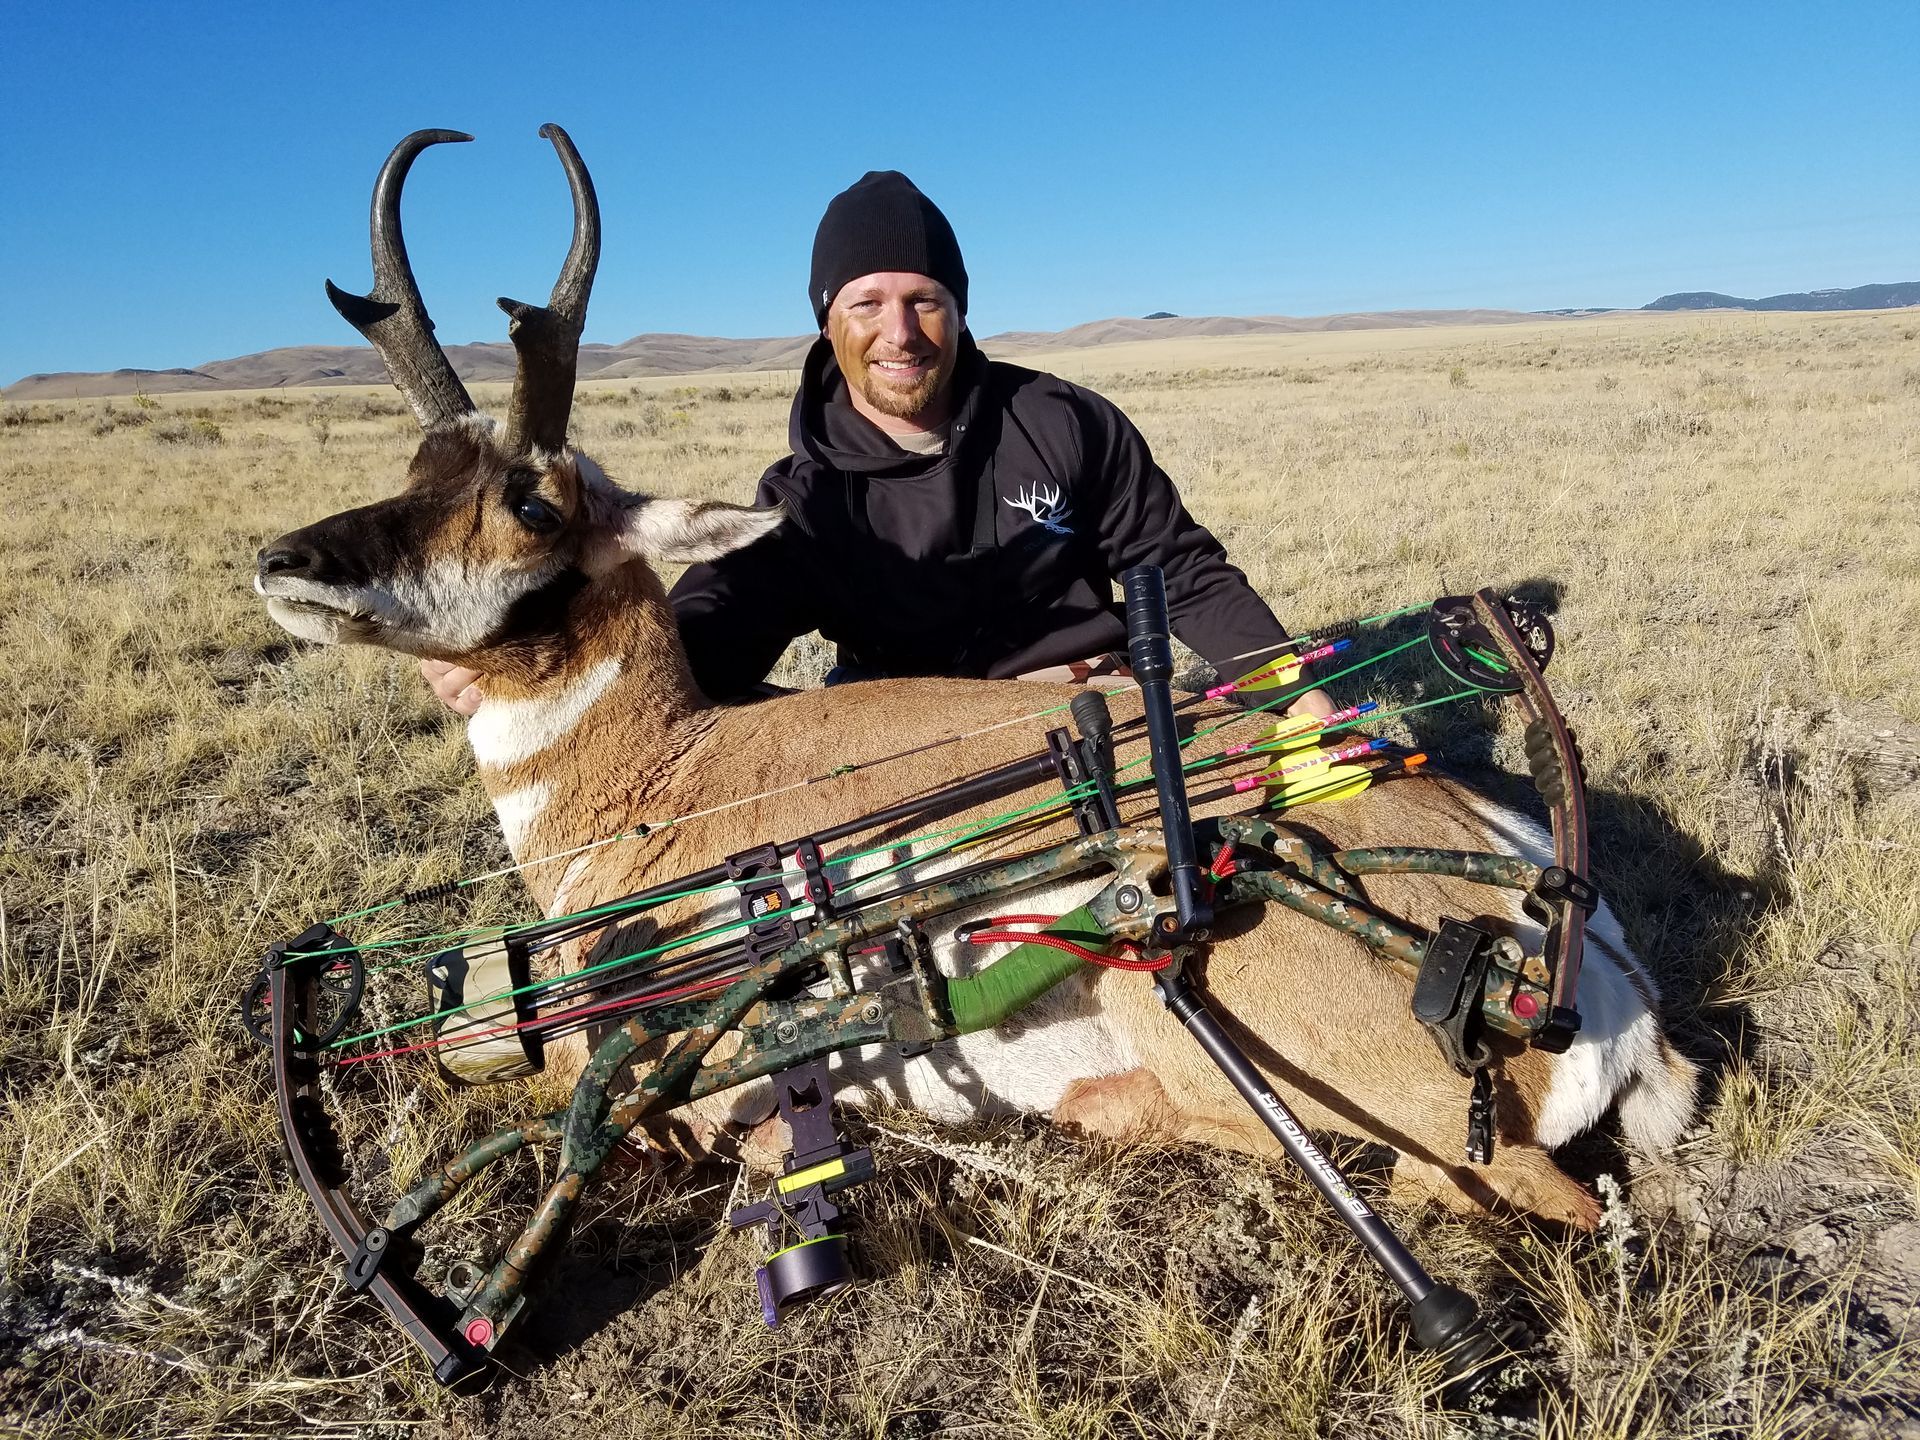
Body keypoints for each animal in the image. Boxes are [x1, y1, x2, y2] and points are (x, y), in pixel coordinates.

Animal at [255, 126, 1698, 1230]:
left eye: (533, 503)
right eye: (418, 468)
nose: (282, 559)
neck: (676, 773)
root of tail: (1555, 933)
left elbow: (522, 1081)